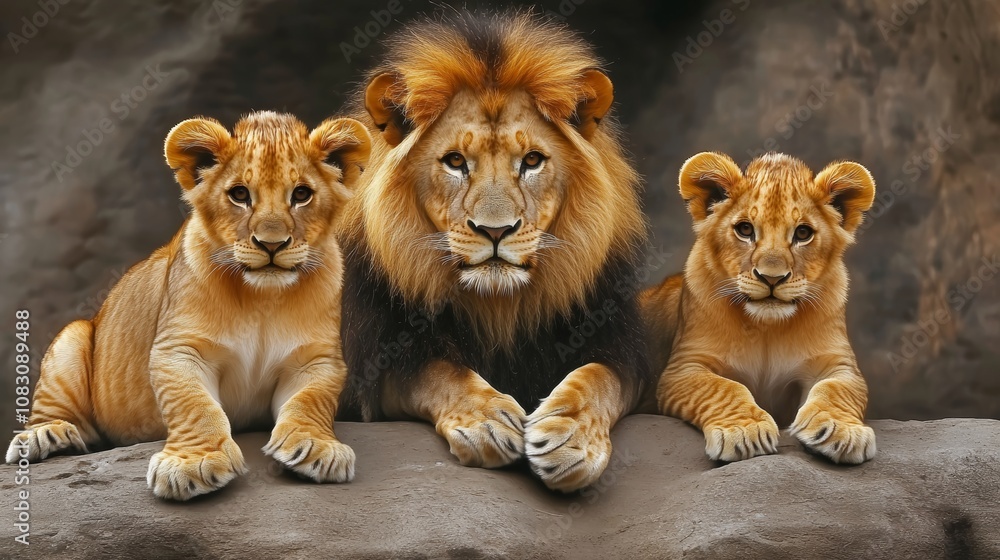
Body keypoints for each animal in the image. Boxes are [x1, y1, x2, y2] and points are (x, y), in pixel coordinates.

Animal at [5, 111, 371, 500]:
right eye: (239, 194)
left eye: (301, 194)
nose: (271, 244)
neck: (263, 298)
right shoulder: (179, 349)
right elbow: (195, 406)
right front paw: (193, 464)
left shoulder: (316, 359)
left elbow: (310, 402)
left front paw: (318, 448)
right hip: (72, 337)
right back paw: (44, 436)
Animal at [336, 11, 652, 492]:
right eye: (455, 162)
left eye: (532, 161)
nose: (495, 230)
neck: (499, 305)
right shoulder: (376, 368)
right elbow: (438, 372)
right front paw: (486, 420)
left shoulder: (622, 348)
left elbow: (598, 378)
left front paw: (569, 438)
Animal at [642, 151, 877, 464]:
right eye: (745, 230)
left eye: (803, 233)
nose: (772, 278)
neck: (767, 326)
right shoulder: (682, 368)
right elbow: (723, 387)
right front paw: (744, 432)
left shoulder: (839, 365)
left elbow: (835, 389)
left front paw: (841, 431)